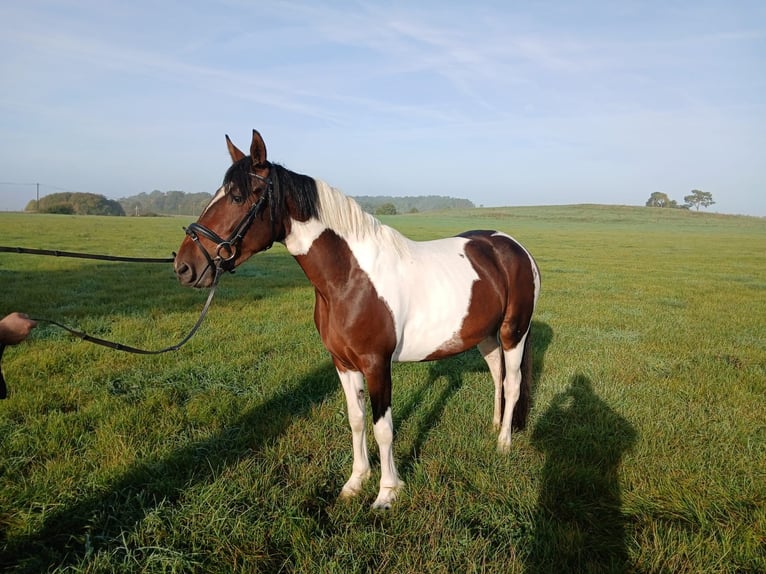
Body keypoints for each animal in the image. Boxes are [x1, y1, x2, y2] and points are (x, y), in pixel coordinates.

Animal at [174, 130, 541, 509]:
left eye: (236, 196)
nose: (184, 266)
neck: (350, 277)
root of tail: (512, 247)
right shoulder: (343, 363)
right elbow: (356, 420)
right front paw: (355, 482)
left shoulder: (376, 363)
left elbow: (383, 428)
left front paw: (387, 492)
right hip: (485, 337)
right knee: (497, 376)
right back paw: (494, 427)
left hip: (514, 333)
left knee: (513, 384)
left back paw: (503, 444)